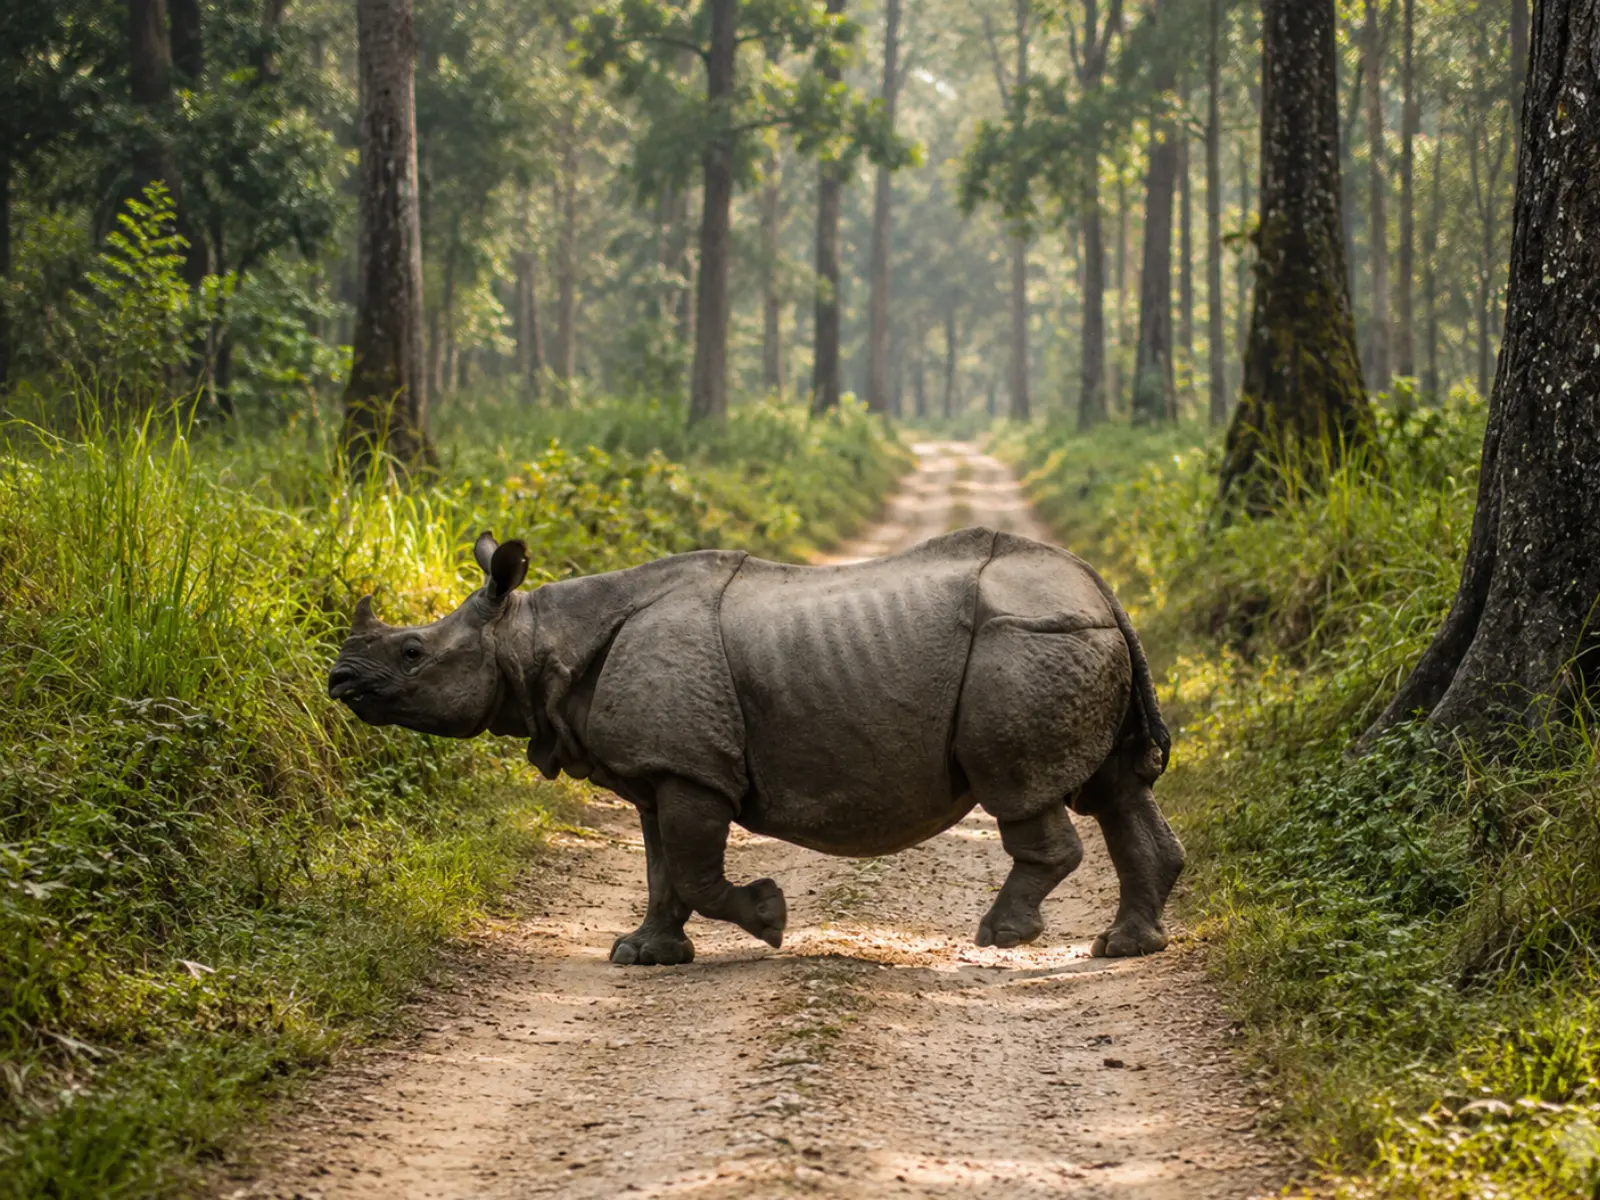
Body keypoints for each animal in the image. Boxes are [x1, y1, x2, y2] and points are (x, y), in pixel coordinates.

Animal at [327, 527, 1184, 965]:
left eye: (411, 652)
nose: (338, 679)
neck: (536, 637)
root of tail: (1100, 587)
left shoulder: (691, 771)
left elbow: (695, 871)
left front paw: (770, 919)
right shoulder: (657, 770)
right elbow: (661, 870)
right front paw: (642, 953)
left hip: (1028, 642)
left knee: (1021, 788)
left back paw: (1003, 936)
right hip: (1067, 635)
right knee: (1117, 790)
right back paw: (1124, 948)